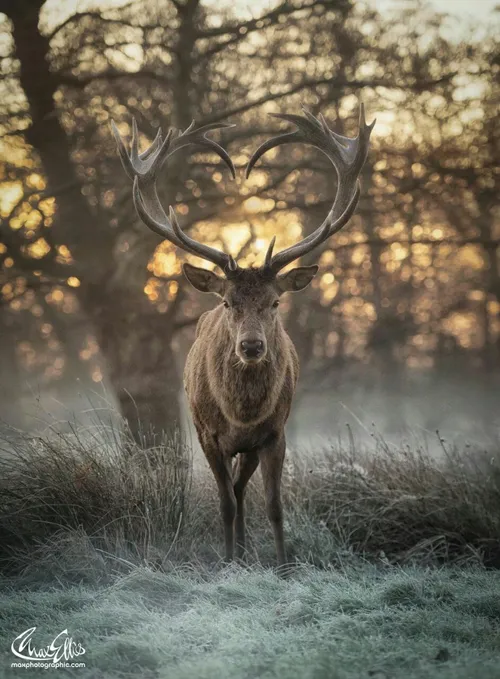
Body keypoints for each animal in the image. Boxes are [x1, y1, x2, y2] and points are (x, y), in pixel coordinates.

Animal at [111, 106, 374, 568]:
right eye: (228, 302)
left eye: (275, 302)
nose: (251, 346)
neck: (241, 413)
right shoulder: (207, 435)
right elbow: (225, 503)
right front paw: (228, 562)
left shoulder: (274, 434)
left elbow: (273, 504)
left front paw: (283, 566)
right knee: (232, 493)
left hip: (252, 448)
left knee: (242, 487)